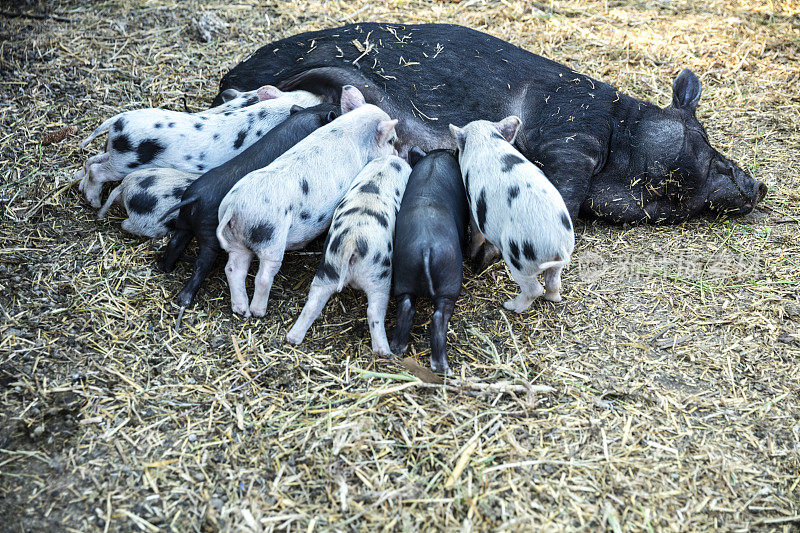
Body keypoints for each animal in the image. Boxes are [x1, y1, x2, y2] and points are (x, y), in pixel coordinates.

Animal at [216, 84, 400, 316]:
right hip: (272, 240)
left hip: (236, 242)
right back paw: (258, 311)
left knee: (233, 269)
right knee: (263, 276)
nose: (398, 153)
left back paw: (242, 311)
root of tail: (233, 207)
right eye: (391, 140)